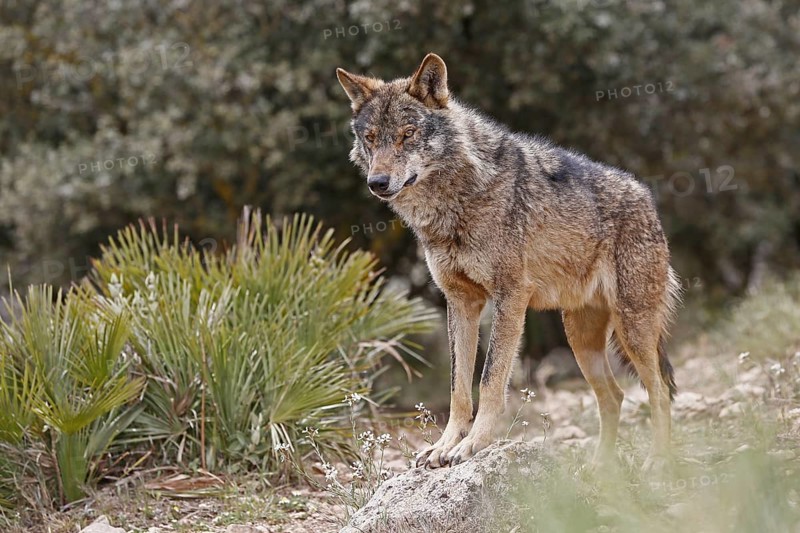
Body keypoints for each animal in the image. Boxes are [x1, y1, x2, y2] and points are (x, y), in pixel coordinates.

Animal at [336, 53, 681, 470]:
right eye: (370, 138)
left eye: (408, 133)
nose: (378, 182)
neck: (455, 204)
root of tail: (647, 199)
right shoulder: (460, 303)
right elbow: (458, 386)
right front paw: (444, 445)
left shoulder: (510, 297)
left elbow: (489, 380)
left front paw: (472, 445)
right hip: (579, 337)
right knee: (614, 396)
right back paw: (599, 469)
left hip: (632, 329)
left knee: (659, 392)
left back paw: (658, 462)